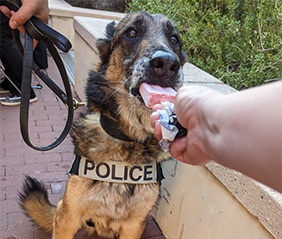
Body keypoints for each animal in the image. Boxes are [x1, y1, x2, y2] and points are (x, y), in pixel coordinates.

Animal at [19, 10, 187, 238]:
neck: (127, 140)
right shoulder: (67, 217)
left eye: (174, 40)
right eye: (131, 33)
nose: (167, 64)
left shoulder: (135, 225)